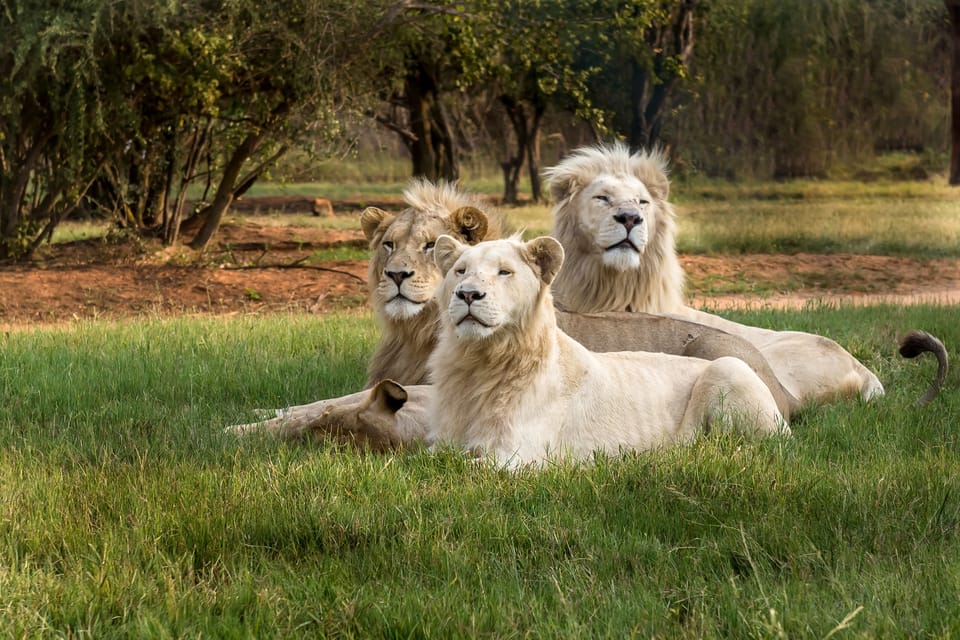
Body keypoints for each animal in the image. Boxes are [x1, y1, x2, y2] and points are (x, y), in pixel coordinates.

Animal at [428, 234, 788, 464]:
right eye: (460, 271)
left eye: (505, 272)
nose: (467, 294)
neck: (479, 361)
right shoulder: (444, 443)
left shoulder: (518, 458)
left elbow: (460, 472)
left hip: (727, 366)